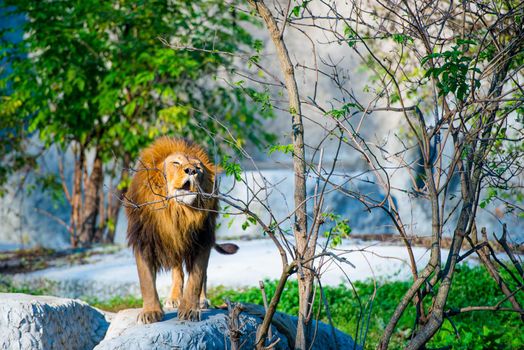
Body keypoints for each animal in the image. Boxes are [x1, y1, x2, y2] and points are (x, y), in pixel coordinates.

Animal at [125, 136, 237, 322]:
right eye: (176, 163)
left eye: (198, 168)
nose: (191, 170)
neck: (176, 213)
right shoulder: (144, 239)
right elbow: (146, 280)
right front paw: (150, 312)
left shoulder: (202, 239)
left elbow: (196, 279)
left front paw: (190, 310)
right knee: (177, 269)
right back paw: (174, 297)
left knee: (203, 275)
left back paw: (201, 300)